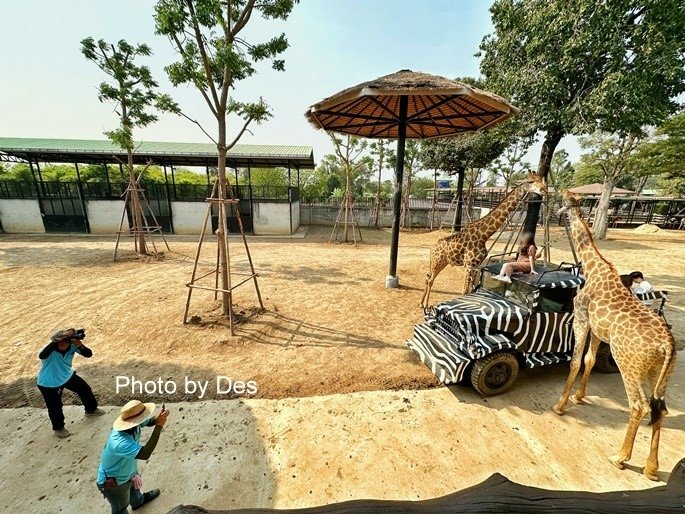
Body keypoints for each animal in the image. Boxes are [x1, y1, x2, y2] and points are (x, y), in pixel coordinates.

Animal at [416, 172, 544, 308]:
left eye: (541, 180)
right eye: (530, 181)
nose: (544, 190)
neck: (484, 235)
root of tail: (432, 249)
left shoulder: (476, 265)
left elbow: (471, 290)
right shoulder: (468, 265)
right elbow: (465, 291)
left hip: (442, 262)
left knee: (429, 278)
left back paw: (422, 303)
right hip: (438, 262)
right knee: (430, 279)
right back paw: (424, 304)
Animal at [552, 189, 672, 480]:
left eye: (564, 201)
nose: (555, 211)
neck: (593, 267)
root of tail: (667, 345)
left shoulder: (581, 319)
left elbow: (575, 361)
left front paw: (561, 406)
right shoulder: (598, 329)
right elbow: (589, 360)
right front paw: (579, 397)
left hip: (628, 364)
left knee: (640, 406)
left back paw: (619, 458)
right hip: (657, 374)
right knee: (660, 409)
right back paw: (651, 468)